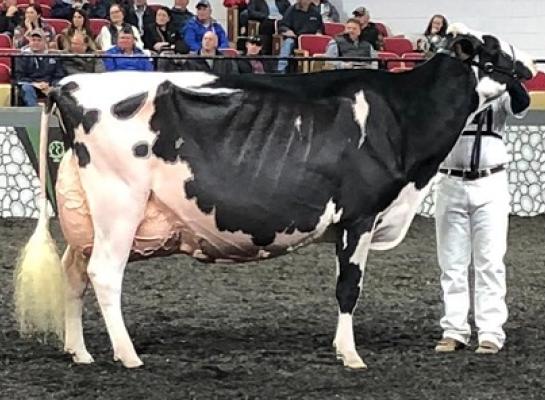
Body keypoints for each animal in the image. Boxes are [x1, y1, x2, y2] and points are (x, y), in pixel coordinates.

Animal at [13, 24, 536, 368]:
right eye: (493, 51)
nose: (531, 67)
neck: (403, 116)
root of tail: (67, 83)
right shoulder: (360, 214)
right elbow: (349, 287)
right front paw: (350, 355)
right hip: (119, 204)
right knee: (104, 274)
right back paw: (127, 355)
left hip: (86, 214)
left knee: (73, 271)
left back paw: (79, 351)